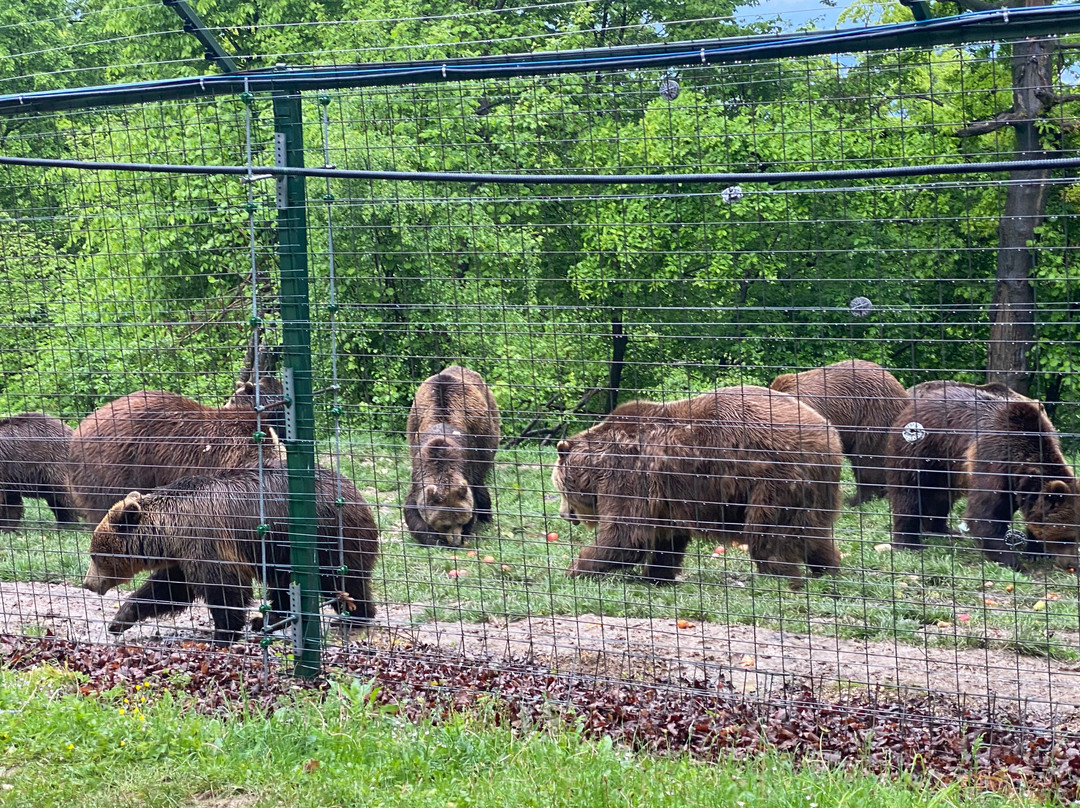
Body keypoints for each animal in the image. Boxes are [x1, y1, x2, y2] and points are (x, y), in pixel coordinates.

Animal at [82, 462, 379, 645]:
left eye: (95, 555)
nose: (88, 583)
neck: (168, 529)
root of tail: (355, 491)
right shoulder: (183, 554)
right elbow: (169, 589)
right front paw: (120, 619)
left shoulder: (206, 540)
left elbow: (223, 587)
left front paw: (223, 633)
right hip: (283, 550)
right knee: (284, 584)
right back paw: (268, 619)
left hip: (325, 535)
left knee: (340, 577)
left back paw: (354, 617)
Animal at [404, 366, 500, 547]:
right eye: (446, 524)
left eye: (461, 521)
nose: (455, 540)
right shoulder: (419, 468)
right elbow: (412, 511)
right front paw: (432, 537)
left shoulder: (467, 462)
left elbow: (474, 496)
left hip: (488, 428)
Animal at [552, 385, 843, 588]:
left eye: (560, 489)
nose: (564, 515)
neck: (597, 465)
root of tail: (828, 434)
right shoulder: (665, 495)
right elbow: (666, 540)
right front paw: (655, 575)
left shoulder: (629, 473)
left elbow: (625, 535)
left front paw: (574, 569)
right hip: (815, 488)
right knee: (814, 534)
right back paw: (828, 570)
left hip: (775, 477)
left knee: (768, 537)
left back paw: (784, 577)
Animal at [886, 380, 1079, 569]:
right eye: (1067, 537)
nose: (1072, 564)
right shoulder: (993, 459)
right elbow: (984, 513)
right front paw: (1012, 562)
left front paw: (1035, 552)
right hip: (921, 448)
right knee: (909, 493)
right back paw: (909, 542)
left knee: (941, 496)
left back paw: (942, 529)